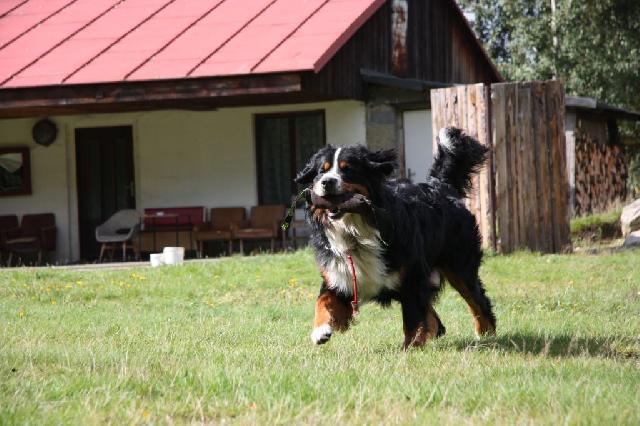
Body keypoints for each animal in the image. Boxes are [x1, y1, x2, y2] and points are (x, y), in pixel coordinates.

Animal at [295, 127, 496, 348]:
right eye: (321, 171)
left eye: (348, 170)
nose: (327, 182)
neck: (356, 231)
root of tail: (441, 186)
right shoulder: (338, 276)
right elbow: (323, 301)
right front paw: (320, 330)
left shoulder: (412, 276)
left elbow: (413, 318)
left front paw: (411, 348)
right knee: (437, 319)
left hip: (460, 266)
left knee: (477, 300)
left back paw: (486, 334)